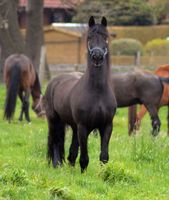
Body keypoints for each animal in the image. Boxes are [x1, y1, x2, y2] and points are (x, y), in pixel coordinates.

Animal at [44, 16, 117, 173]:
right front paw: (83, 173)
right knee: (55, 141)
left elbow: (104, 156)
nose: (97, 57)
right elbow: (84, 157)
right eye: (89, 37)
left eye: (106, 37)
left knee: (71, 151)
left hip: (73, 126)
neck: (97, 92)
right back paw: (57, 165)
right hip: (54, 120)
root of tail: (55, 81)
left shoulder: (106, 126)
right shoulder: (83, 127)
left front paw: (102, 174)